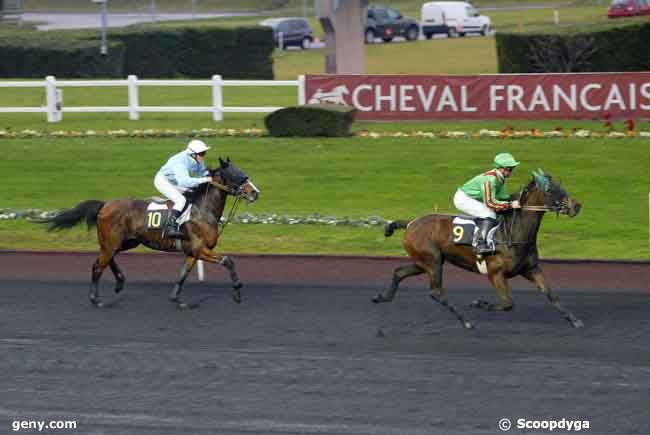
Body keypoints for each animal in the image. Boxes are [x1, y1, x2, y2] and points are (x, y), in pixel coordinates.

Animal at [43, 158, 258, 308]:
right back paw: (96, 299)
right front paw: (237, 292)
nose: (255, 192)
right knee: (98, 265)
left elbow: (183, 273)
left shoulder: (193, 252)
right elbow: (228, 261)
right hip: (113, 242)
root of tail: (105, 204)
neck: (202, 210)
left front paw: (176, 299)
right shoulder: (200, 249)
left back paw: (119, 281)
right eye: (237, 173)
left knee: (106, 259)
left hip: (125, 242)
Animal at [374, 170, 584, 330]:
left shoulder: (531, 269)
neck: (512, 232)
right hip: (432, 261)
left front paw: (574, 320)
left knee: (399, 272)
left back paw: (383, 297)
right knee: (436, 292)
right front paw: (480, 303)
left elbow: (551, 294)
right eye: (552, 190)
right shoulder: (495, 273)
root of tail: (411, 223)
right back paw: (466, 321)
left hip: (424, 261)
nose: (577, 206)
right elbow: (508, 303)